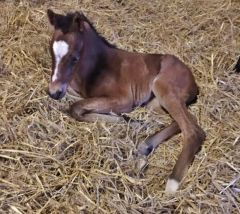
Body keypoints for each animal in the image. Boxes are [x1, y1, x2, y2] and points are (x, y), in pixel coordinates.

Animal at [47, 9, 206, 192]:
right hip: (155, 103)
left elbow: (75, 108)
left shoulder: (124, 99)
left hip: (162, 88)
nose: (54, 92)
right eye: (51, 53)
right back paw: (146, 145)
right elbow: (77, 106)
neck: (97, 67)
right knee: (183, 121)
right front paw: (134, 122)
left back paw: (171, 183)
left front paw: (128, 120)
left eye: (74, 57)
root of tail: (194, 82)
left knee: (194, 131)